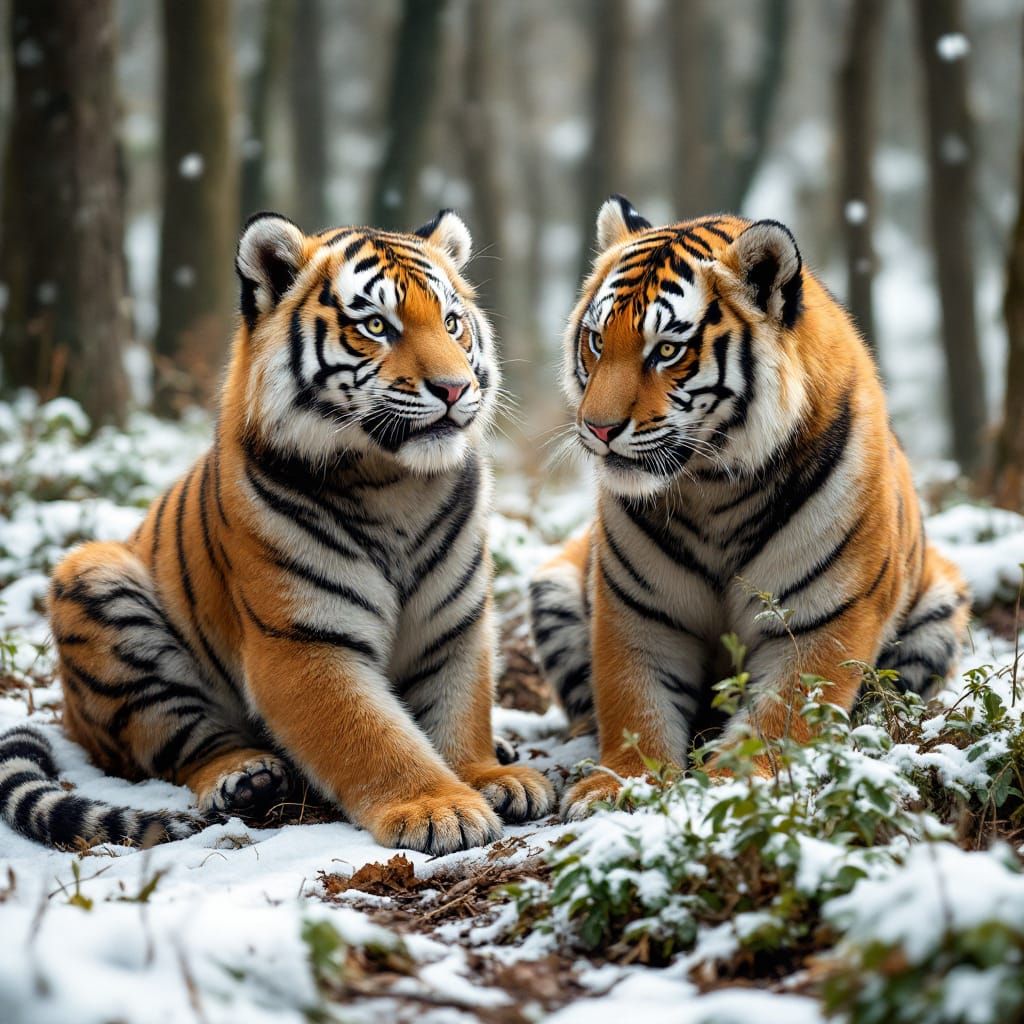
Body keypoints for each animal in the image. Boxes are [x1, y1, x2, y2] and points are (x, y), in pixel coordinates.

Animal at [0, 209, 553, 852]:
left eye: (452, 323)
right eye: (376, 325)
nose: (455, 388)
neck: (395, 486)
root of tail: (67, 717)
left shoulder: (456, 625)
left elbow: (461, 710)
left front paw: (488, 776)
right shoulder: (301, 642)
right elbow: (372, 738)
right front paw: (440, 808)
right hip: (95, 583)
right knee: (181, 744)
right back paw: (244, 777)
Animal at [529, 195, 970, 821]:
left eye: (666, 350)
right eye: (595, 341)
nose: (597, 428)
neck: (711, 487)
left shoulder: (820, 620)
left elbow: (778, 715)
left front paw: (730, 787)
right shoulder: (638, 613)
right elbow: (633, 702)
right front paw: (620, 787)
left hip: (938, 610)